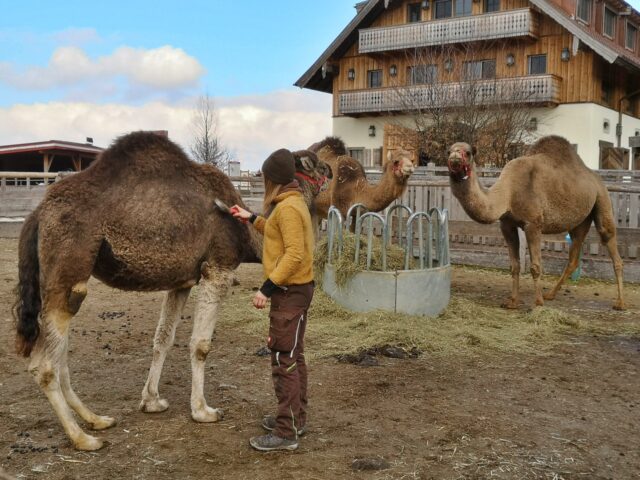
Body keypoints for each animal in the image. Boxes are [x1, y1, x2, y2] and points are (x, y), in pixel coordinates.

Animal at [14, 130, 264, 450]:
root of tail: (37, 214)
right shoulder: (218, 268)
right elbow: (200, 344)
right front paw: (203, 411)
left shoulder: (182, 282)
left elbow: (163, 339)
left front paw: (152, 401)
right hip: (65, 272)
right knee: (44, 364)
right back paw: (82, 438)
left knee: (59, 357)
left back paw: (96, 419)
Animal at [448, 134, 624, 312]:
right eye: (448, 150)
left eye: (468, 152)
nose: (454, 157)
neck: (508, 194)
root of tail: (596, 178)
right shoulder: (507, 225)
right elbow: (514, 266)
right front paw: (512, 301)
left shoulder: (533, 224)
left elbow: (535, 266)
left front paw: (538, 303)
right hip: (580, 221)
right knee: (574, 255)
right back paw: (550, 294)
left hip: (602, 198)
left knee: (610, 240)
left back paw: (620, 303)